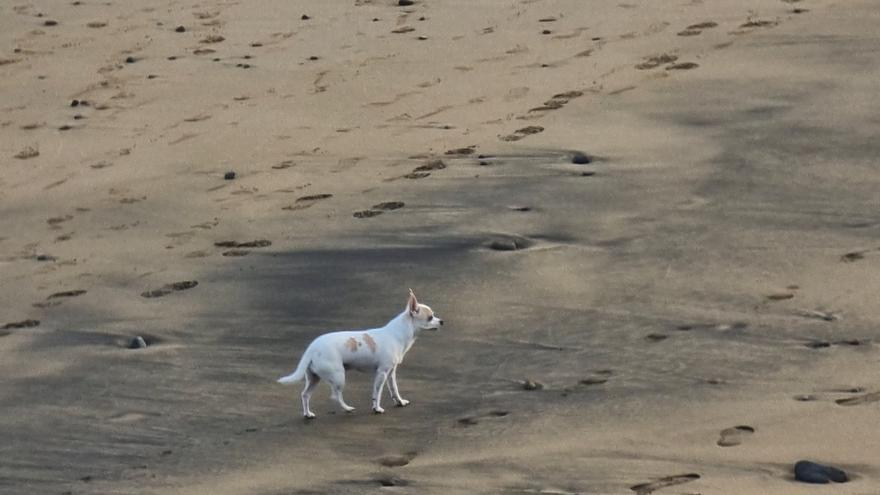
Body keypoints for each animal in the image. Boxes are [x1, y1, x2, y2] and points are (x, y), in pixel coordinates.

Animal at [278, 288, 444, 420]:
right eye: (430, 317)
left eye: (434, 316)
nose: (442, 321)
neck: (398, 333)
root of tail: (312, 348)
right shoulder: (382, 373)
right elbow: (377, 392)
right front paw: (377, 408)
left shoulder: (391, 373)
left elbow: (394, 389)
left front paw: (400, 402)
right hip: (338, 376)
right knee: (335, 395)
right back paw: (347, 408)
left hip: (314, 378)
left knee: (305, 394)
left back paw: (308, 414)